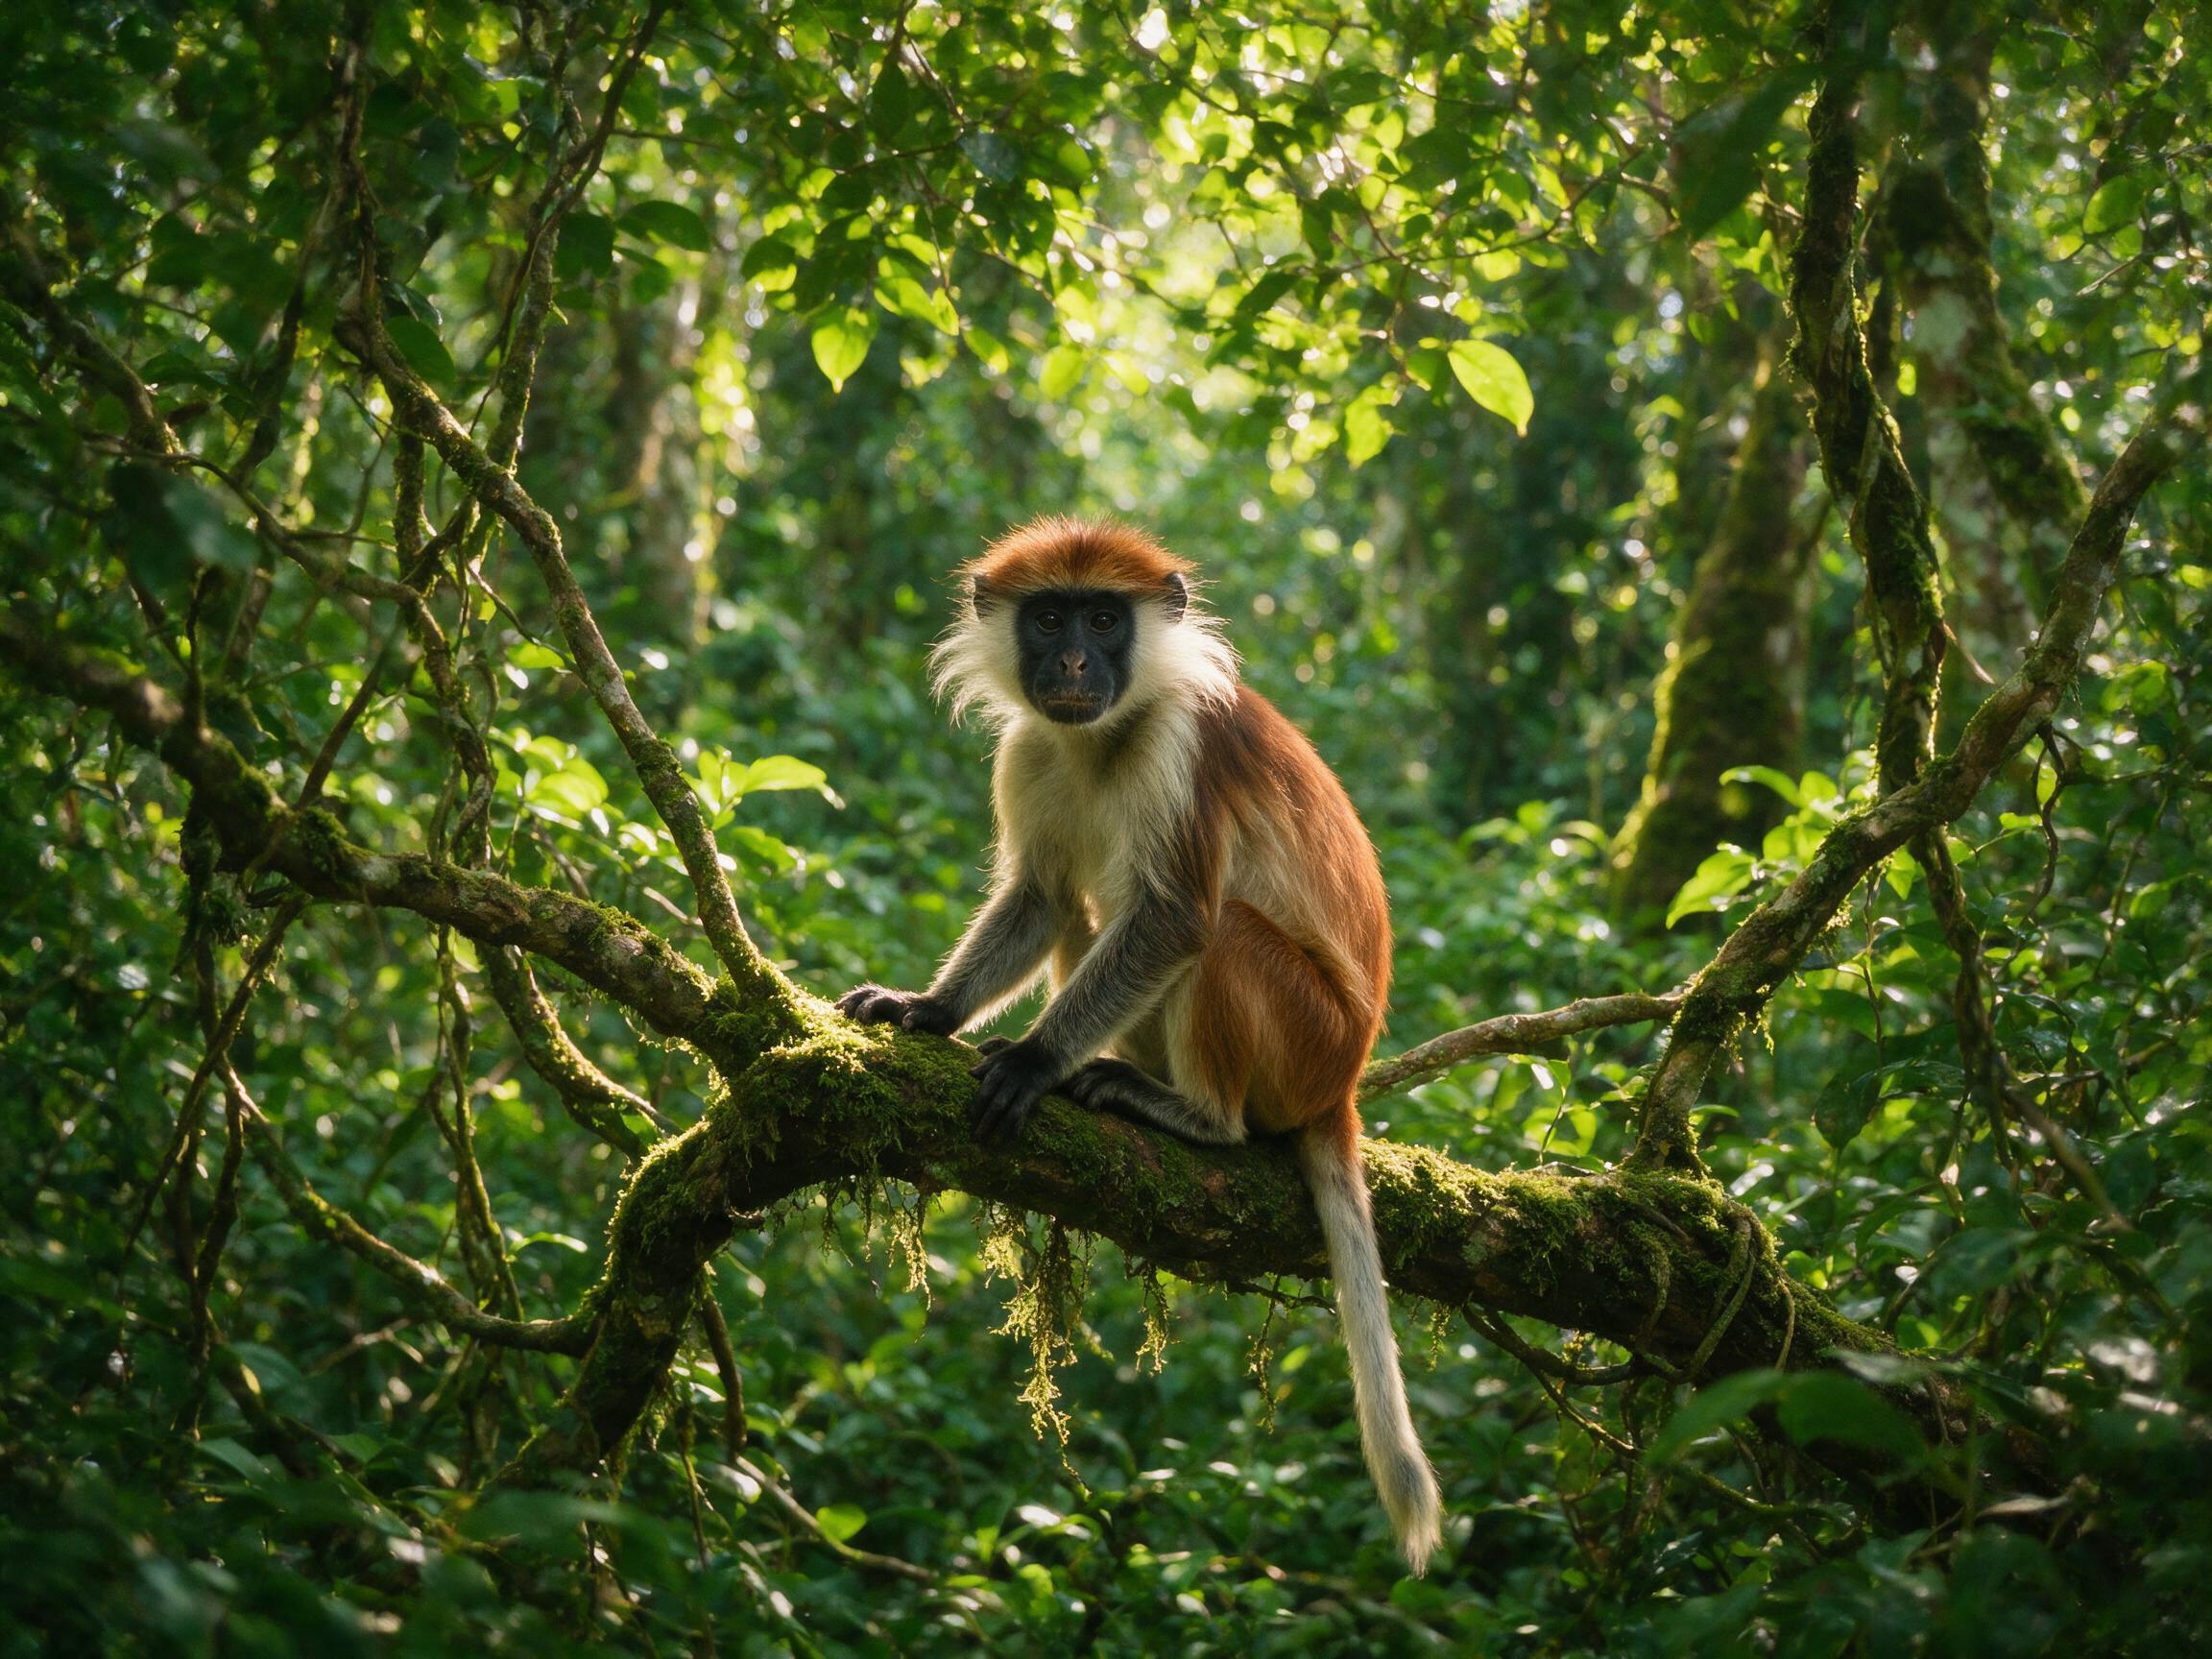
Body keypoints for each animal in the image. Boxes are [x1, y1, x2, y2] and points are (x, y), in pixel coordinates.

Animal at [838, 516, 1443, 1574]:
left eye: (1103, 619)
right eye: (1050, 618)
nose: (1076, 661)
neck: (1104, 737)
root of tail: (1344, 1081)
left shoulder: (1182, 744)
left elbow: (1173, 923)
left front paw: (1033, 1064)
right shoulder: (1034, 745)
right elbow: (1041, 896)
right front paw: (931, 1009)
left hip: (1304, 1036)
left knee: (1218, 929)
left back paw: (1196, 1118)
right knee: (1085, 907)